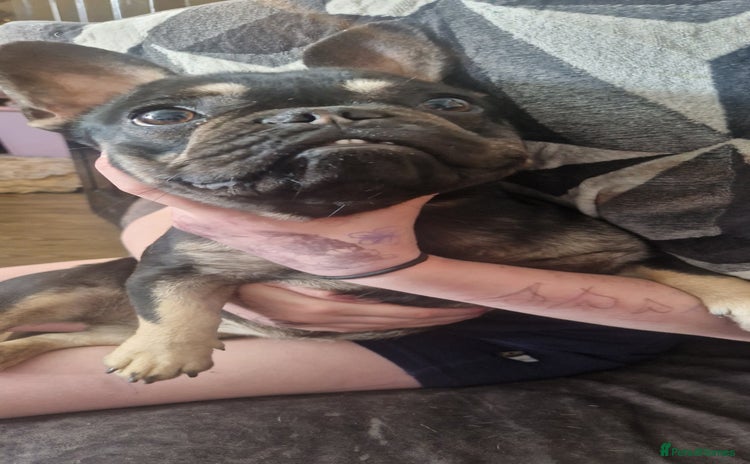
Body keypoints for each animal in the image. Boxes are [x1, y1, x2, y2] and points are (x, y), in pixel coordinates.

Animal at [1, 23, 749, 384]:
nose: (325, 114)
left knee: (50, 341)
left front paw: (734, 295)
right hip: (50, 295)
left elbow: (673, 267)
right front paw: (163, 352)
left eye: (449, 105)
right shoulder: (179, 257)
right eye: (162, 116)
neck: (357, 218)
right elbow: (171, 295)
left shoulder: (602, 256)